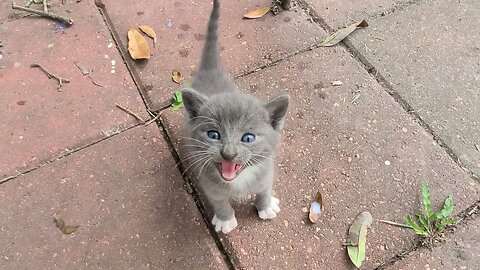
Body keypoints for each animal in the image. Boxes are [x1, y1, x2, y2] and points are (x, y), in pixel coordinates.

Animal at [182, 0, 288, 234]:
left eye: (248, 138)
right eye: (214, 134)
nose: (228, 154)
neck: (237, 181)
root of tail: (211, 71)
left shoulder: (267, 171)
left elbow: (264, 190)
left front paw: (266, 206)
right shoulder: (209, 183)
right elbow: (220, 201)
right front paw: (225, 219)